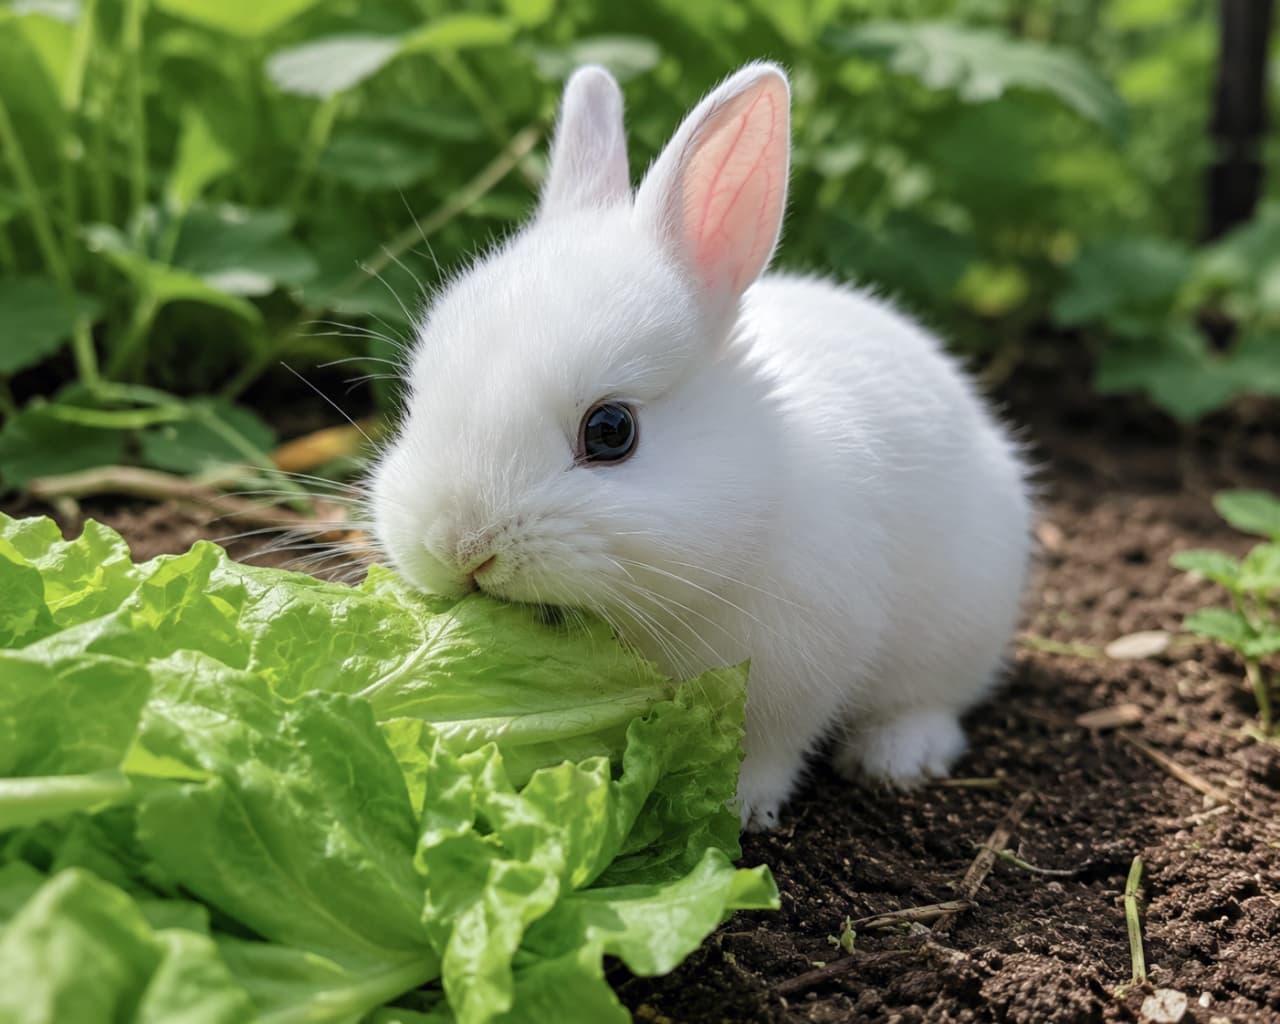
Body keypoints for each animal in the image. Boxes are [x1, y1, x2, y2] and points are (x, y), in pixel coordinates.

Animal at [368, 61, 1033, 830]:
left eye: (611, 431)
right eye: (417, 397)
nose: (461, 549)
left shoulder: (797, 667)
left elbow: (769, 747)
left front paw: (738, 807)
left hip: (959, 626)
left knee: (935, 701)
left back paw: (897, 758)